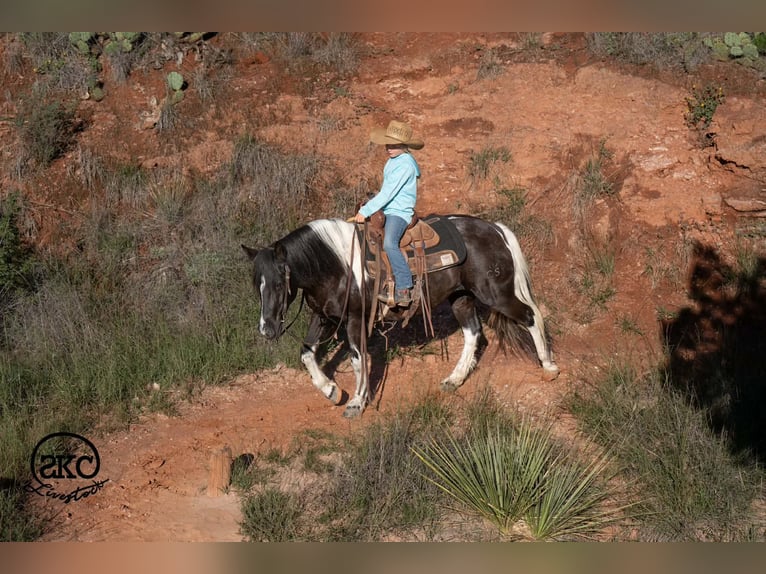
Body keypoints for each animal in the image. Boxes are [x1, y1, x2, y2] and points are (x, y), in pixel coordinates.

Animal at [242, 215, 559, 418]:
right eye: (256, 283)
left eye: (279, 284)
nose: (267, 329)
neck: (337, 264)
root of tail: (495, 229)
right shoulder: (325, 317)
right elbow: (306, 353)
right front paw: (331, 390)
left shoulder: (355, 319)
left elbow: (358, 359)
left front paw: (357, 402)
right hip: (461, 298)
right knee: (473, 333)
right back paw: (453, 380)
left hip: (496, 294)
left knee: (530, 316)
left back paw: (548, 366)